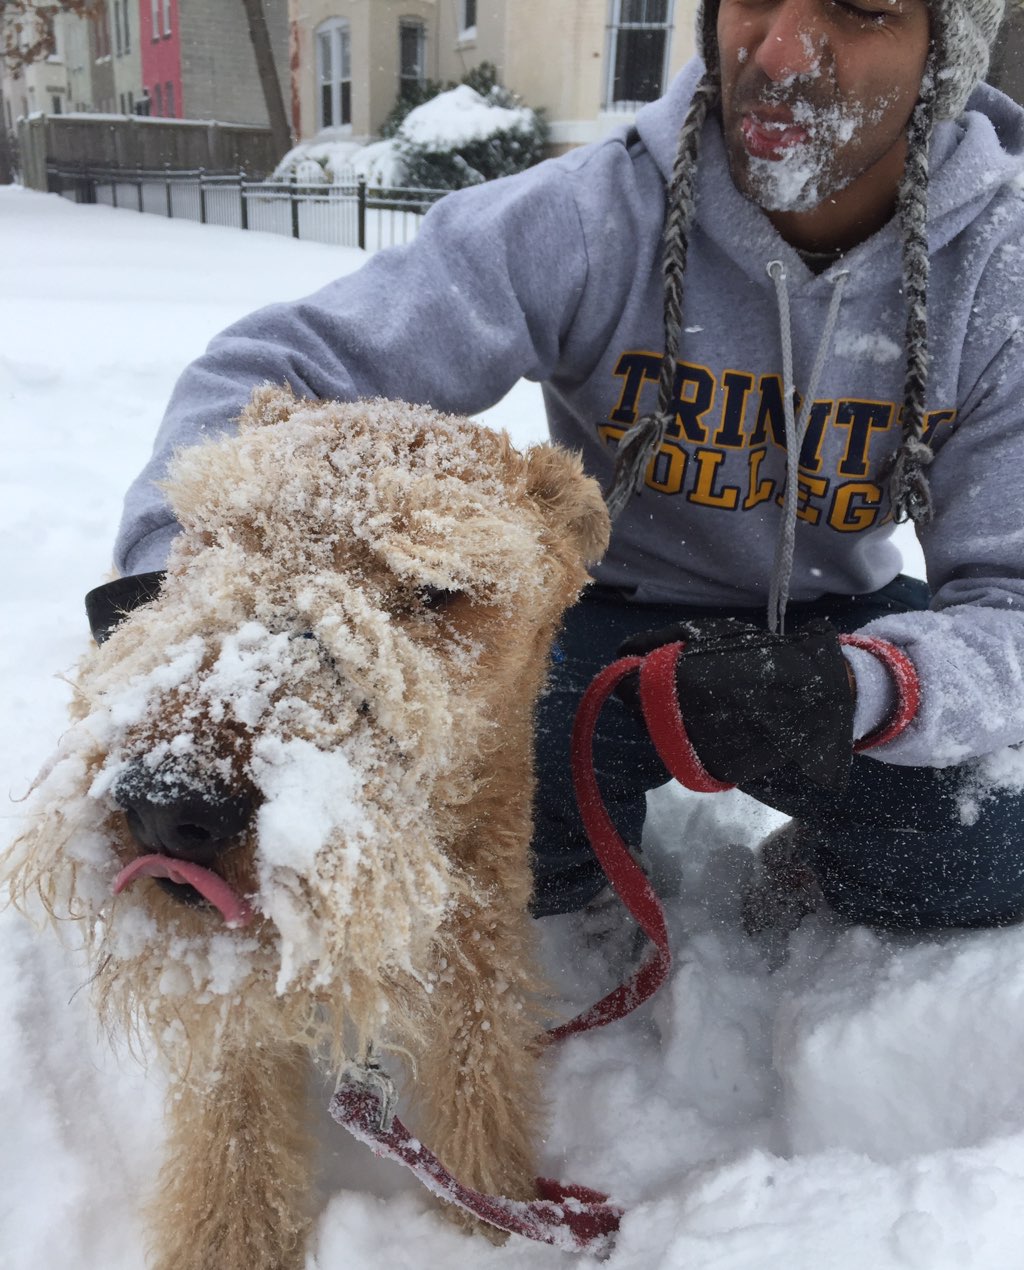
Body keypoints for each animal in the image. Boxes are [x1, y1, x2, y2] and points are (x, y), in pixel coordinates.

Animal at [6, 386, 609, 1270]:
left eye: (439, 587)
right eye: (223, 533)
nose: (169, 803)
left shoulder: (478, 944)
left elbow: (480, 1089)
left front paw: (491, 1218)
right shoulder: (233, 998)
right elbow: (233, 1147)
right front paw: (225, 1244)